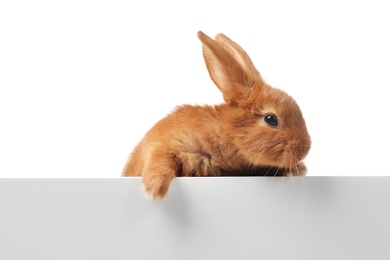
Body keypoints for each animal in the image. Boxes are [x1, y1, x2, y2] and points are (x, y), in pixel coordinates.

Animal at [122, 31, 310, 200]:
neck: (227, 131)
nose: (305, 149)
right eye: (271, 119)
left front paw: (297, 170)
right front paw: (155, 188)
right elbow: (160, 158)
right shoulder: (170, 142)